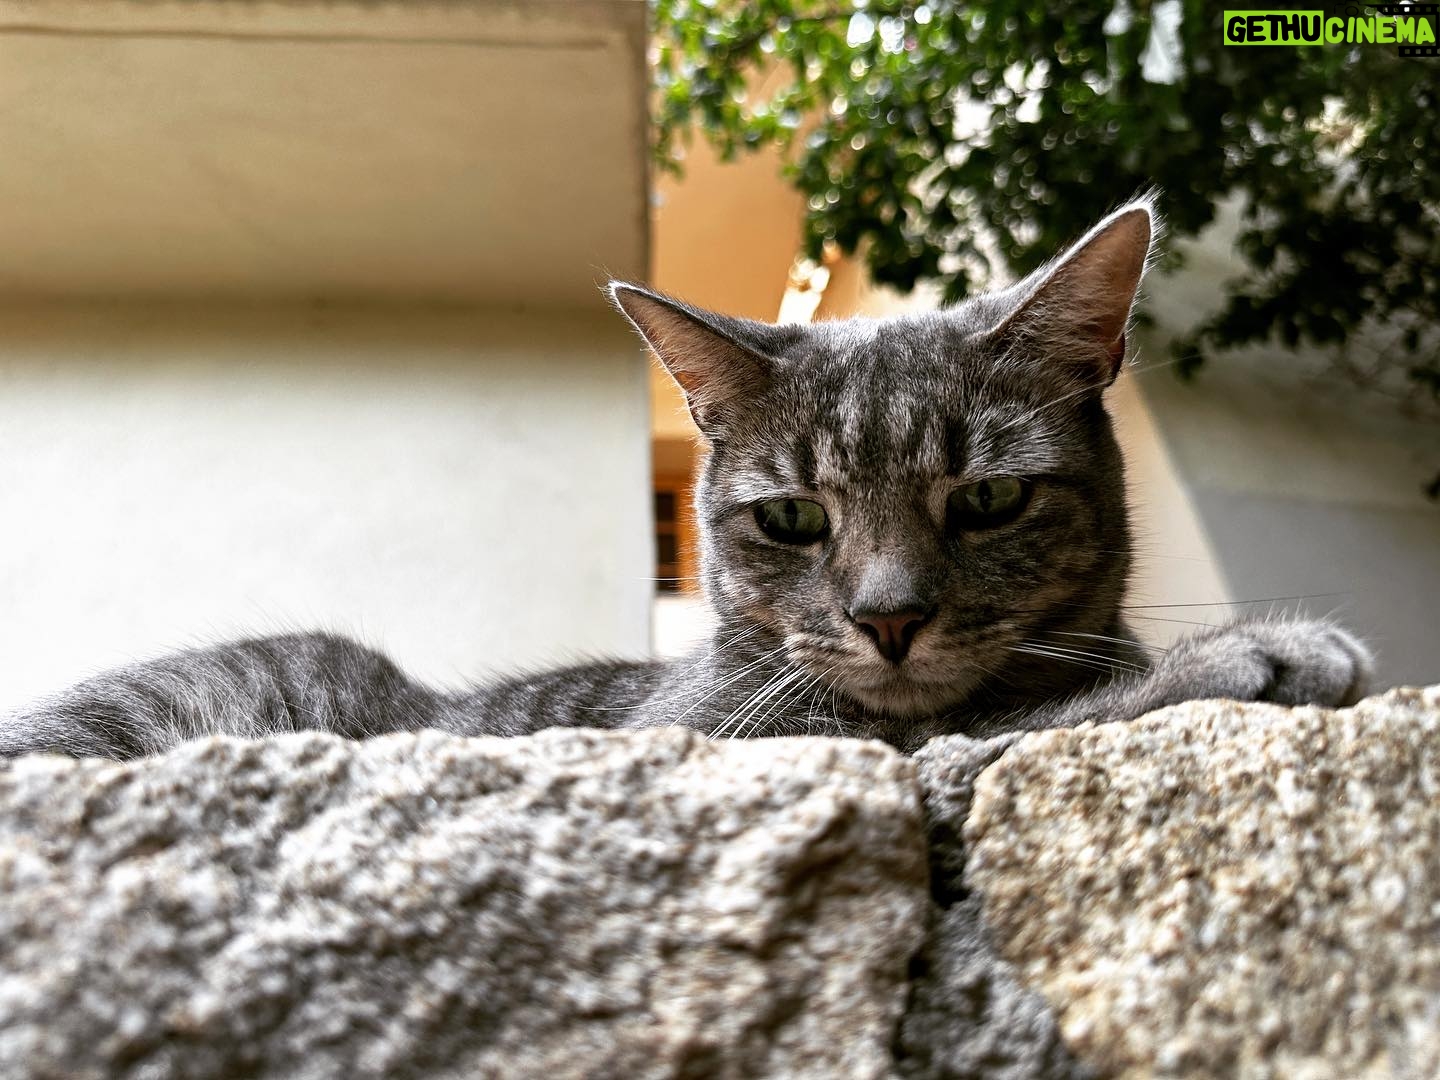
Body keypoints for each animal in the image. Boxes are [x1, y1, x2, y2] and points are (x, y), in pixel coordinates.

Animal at [0, 198, 1371, 760]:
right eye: (793, 518)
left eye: (985, 499)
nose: (889, 619)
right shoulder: (733, 738)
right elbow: (997, 723)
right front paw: (1243, 653)